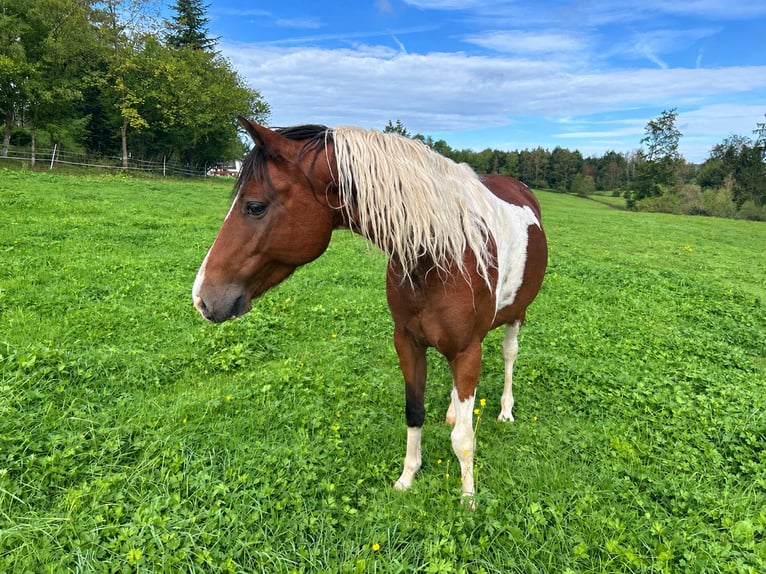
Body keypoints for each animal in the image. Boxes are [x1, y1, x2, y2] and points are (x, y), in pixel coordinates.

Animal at [193, 116, 547, 502]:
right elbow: (414, 411)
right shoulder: (408, 342)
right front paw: (407, 478)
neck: (440, 255)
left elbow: (464, 438)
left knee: (509, 354)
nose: (202, 298)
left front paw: (468, 497)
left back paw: (506, 411)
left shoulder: (467, 350)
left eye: (255, 206)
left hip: (516, 316)